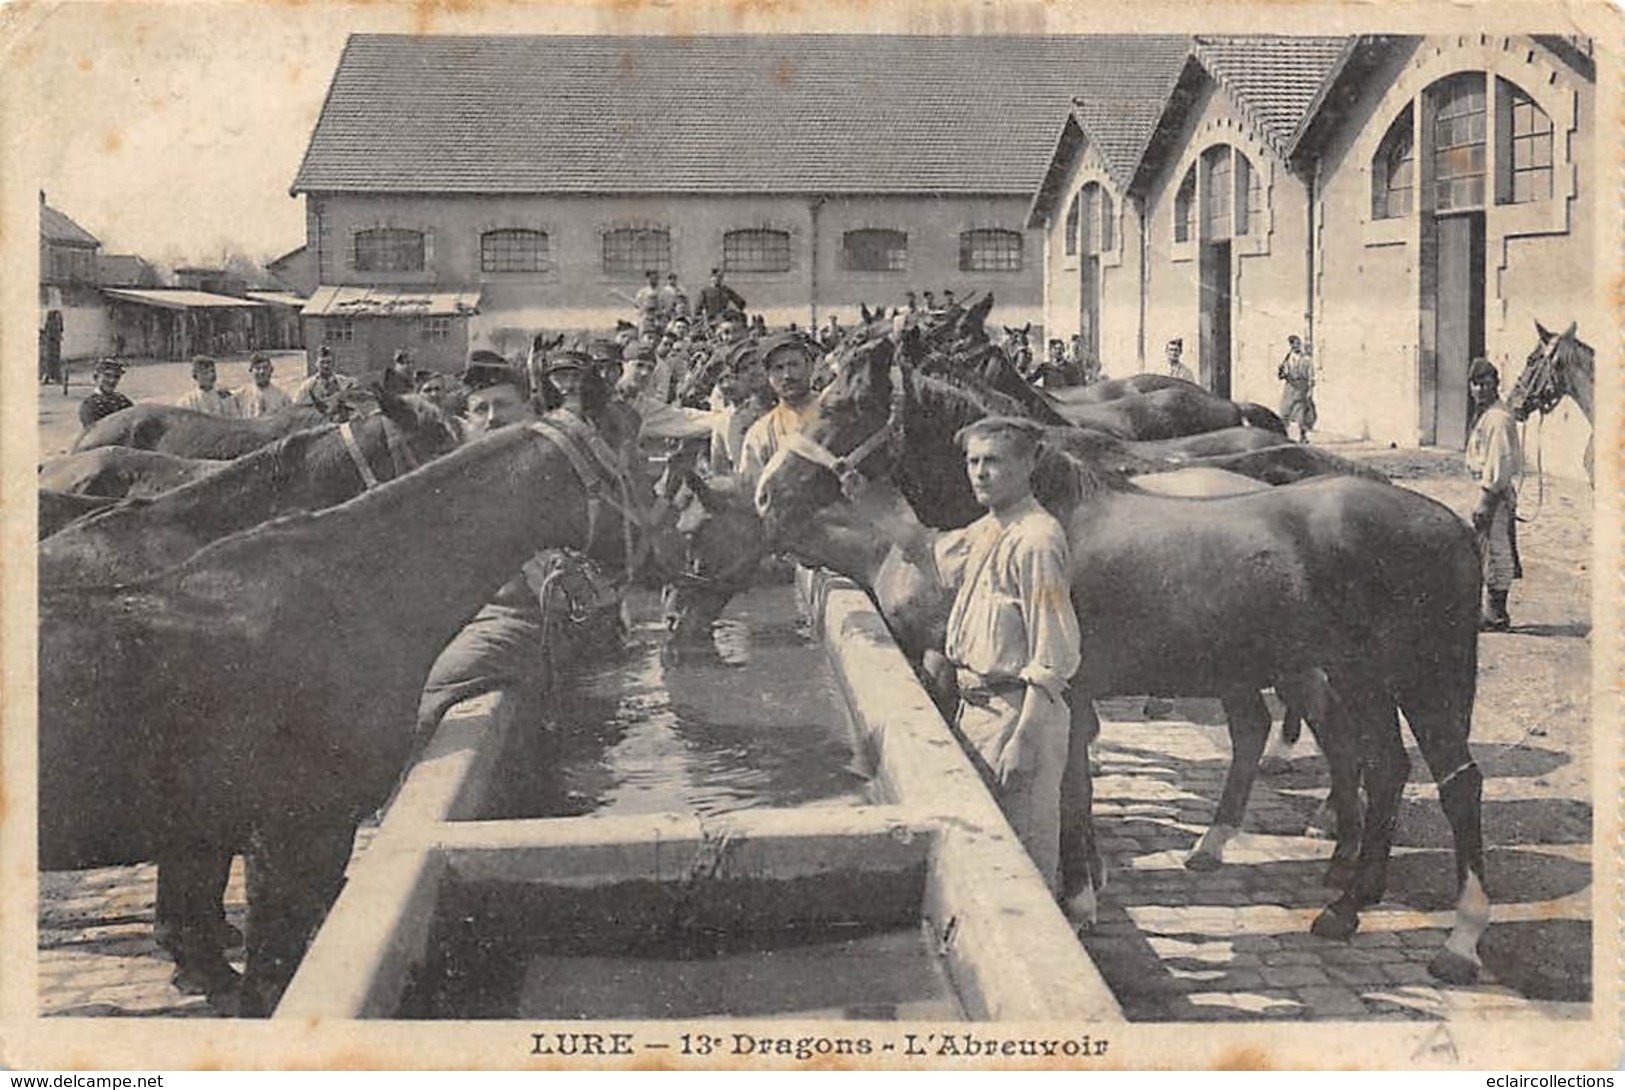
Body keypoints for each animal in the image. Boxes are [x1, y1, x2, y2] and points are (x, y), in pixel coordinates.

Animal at [38, 415, 685, 1013]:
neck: (350, 596)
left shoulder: (213, 827)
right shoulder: (296, 832)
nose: (680, 554)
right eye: (634, 462)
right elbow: (267, 966)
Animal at [754, 329, 1488, 981]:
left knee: (1454, 783)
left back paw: (1458, 940)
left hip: (1417, 681)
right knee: (1383, 768)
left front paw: (1079, 898)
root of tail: (1452, 525)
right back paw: (1344, 903)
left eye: (843, 406)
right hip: (1358, 680)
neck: (1050, 516)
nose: (767, 491)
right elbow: (1072, 783)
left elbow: (1073, 787)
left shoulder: (1066, 690)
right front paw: (1085, 887)